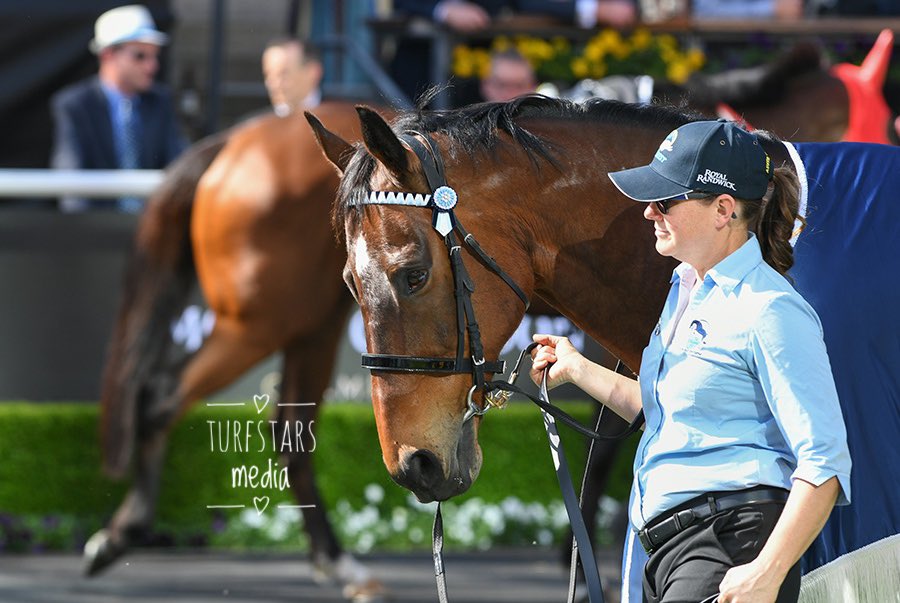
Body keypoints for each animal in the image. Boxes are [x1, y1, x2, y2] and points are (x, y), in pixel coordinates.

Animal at [86, 100, 387, 602]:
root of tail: (232, 141)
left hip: (313, 322)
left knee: (290, 433)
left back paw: (335, 561)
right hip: (262, 323)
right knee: (162, 397)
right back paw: (123, 531)